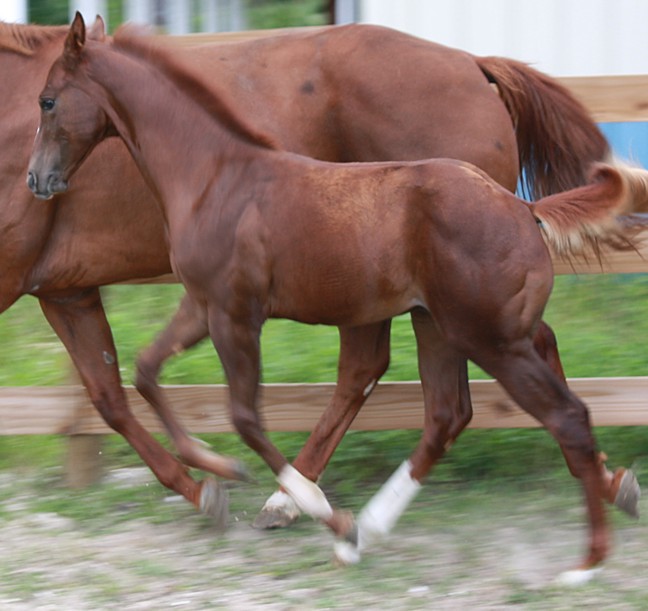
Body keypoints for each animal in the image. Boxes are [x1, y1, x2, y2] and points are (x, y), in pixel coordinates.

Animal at [27, 13, 648, 582]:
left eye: (48, 100)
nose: (36, 180)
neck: (215, 175)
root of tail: (523, 208)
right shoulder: (200, 306)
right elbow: (147, 372)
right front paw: (219, 474)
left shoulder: (235, 315)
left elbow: (245, 417)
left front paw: (309, 507)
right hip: (441, 326)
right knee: (450, 414)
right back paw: (372, 532)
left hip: (488, 336)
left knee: (563, 414)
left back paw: (584, 562)